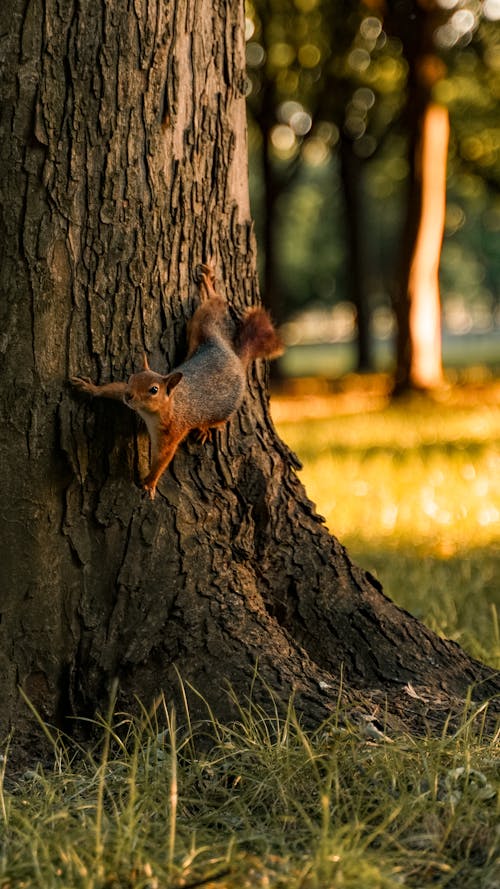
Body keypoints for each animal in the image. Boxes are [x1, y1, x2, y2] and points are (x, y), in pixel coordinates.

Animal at [71, 264, 284, 500]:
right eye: (131, 378)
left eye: (154, 390)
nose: (129, 396)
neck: (160, 410)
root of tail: (236, 359)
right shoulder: (125, 393)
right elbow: (113, 389)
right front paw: (89, 388)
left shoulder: (172, 431)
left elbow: (163, 459)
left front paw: (150, 483)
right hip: (203, 326)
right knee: (213, 306)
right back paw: (208, 283)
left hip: (223, 407)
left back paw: (205, 430)